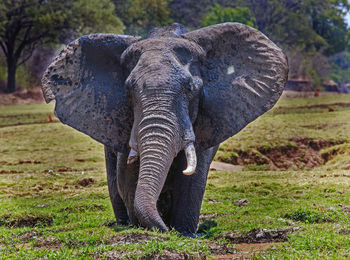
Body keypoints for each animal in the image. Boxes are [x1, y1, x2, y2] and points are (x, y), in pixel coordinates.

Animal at [41, 22, 288, 238]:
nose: (165, 230)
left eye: (190, 89)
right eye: (128, 90)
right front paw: (145, 227)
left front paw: (185, 233)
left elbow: (192, 180)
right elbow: (127, 179)